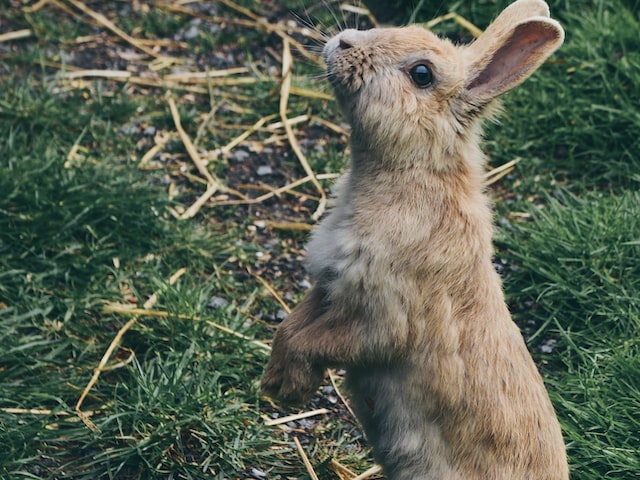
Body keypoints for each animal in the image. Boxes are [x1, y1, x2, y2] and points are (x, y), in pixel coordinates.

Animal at [262, 1, 568, 478]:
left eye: (422, 74)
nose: (343, 42)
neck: (410, 171)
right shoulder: (329, 286)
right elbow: (291, 327)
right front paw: (275, 382)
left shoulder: (381, 317)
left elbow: (319, 341)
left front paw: (288, 389)